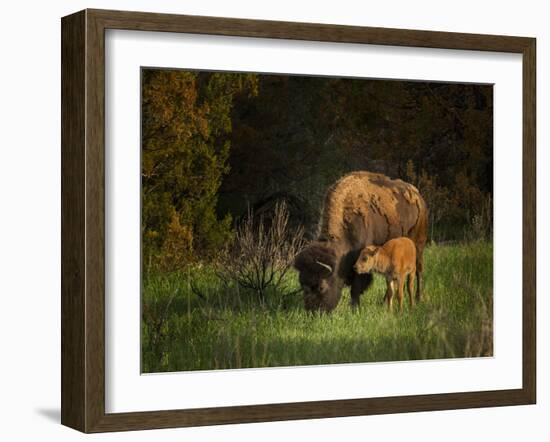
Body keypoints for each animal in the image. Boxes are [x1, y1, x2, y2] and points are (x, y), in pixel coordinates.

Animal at [294, 171, 432, 312]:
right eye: (302, 284)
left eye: (321, 287)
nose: (313, 311)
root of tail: (419, 197)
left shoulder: (361, 259)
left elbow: (356, 287)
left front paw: (355, 308)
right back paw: (384, 302)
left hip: (419, 245)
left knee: (419, 270)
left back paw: (418, 298)